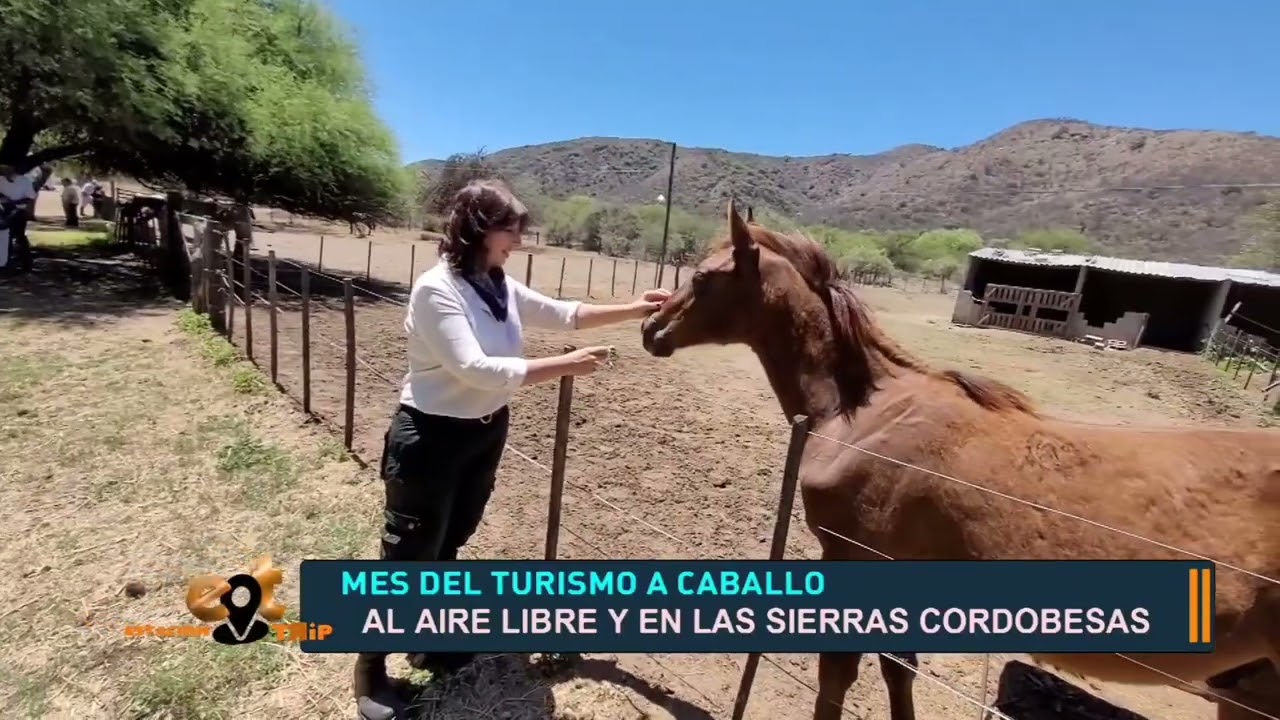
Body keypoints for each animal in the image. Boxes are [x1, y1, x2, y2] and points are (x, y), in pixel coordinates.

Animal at [640, 200, 1280, 720]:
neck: (868, 413)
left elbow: (838, 676)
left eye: (703, 276)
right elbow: (899, 670)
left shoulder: (855, 563)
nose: (650, 327)